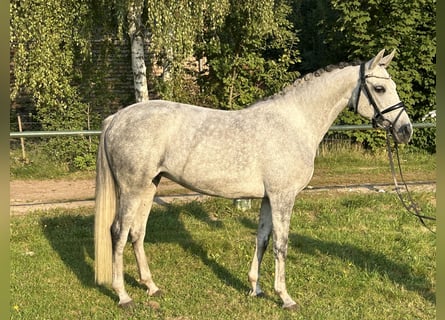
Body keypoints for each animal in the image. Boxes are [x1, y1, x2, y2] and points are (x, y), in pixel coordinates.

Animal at [94, 50, 412, 310]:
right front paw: (285, 298)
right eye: (380, 88)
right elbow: (281, 244)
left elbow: (262, 239)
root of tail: (116, 118)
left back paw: (151, 287)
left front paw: (255, 289)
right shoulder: (283, 196)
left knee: (137, 233)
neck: (294, 123)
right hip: (132, 189)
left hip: (150, 185)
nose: (405, 130)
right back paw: (123, 296)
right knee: (119, 232)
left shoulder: (269, 198)